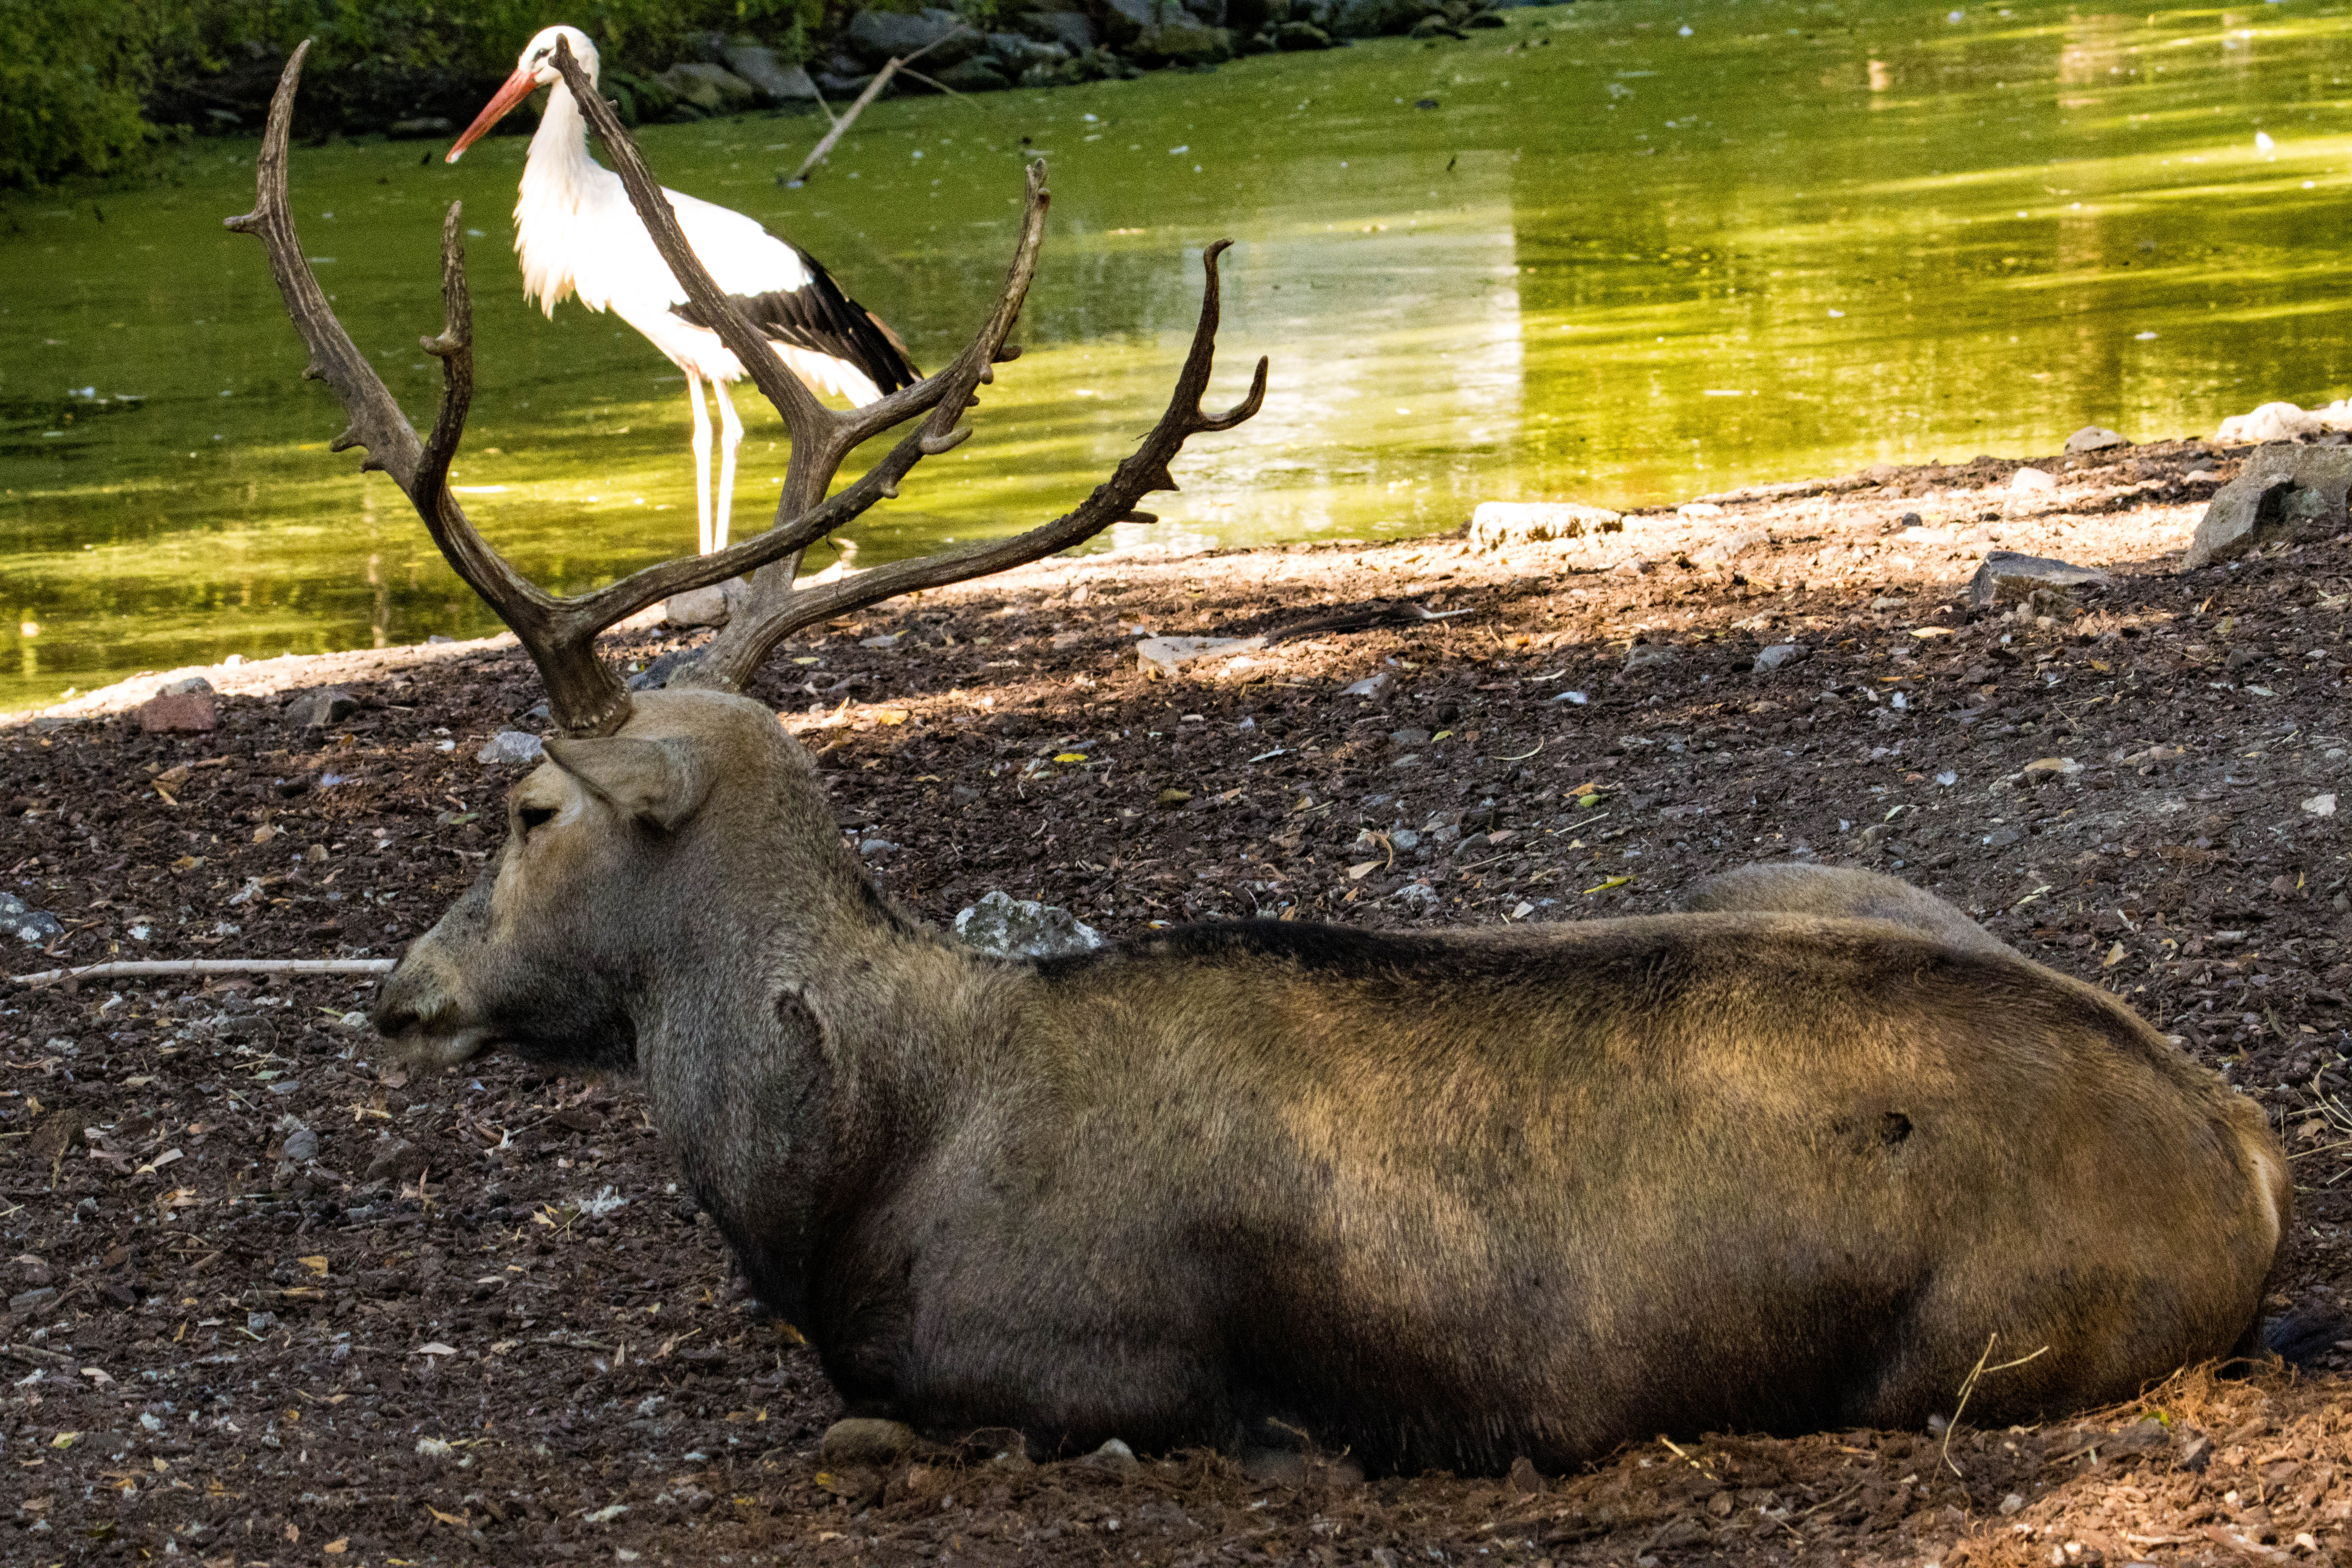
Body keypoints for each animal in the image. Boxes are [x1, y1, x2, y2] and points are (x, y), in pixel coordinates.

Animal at [243, 40, 2295, 1486]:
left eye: (524, 809)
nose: (404, 991)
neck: (846, 1169)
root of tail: (2253, 1161)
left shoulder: (1076, 1373)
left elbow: (919, 1421)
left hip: (1962, 1356)